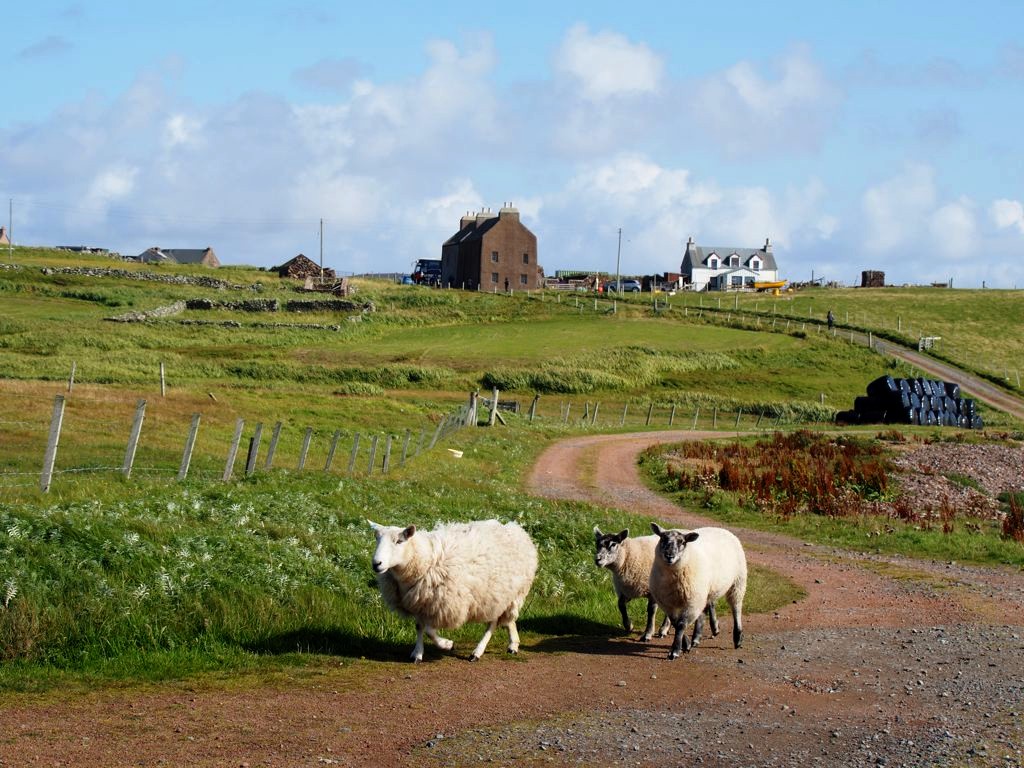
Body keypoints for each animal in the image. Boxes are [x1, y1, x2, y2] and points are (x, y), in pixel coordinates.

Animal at [368, 518, 538, 663]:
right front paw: (417, 653)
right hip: (501, 595)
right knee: (507, 619)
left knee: (493, 623)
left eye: (399, 541)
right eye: (377, 539)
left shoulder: (441, 606)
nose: (376, 564)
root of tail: (515, 528)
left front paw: (447, 644)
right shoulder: (420, 603)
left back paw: (477, 652)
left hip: (502, 594)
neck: (425, 560)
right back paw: (513, 644)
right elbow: (420, 627)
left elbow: (429, 630)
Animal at [648, 523, 747, 660]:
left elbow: (681, 624)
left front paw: (675, 651)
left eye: (682, 542)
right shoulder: (667, 602)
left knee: (736, 608)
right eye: (663, 538)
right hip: (706, 591)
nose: (669, 556)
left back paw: (737, 638)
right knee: (706, 609)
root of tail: (720, 528)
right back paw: (697, 637)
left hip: (738, 581)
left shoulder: (692, 601)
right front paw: (686, 644)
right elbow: (675, 622)